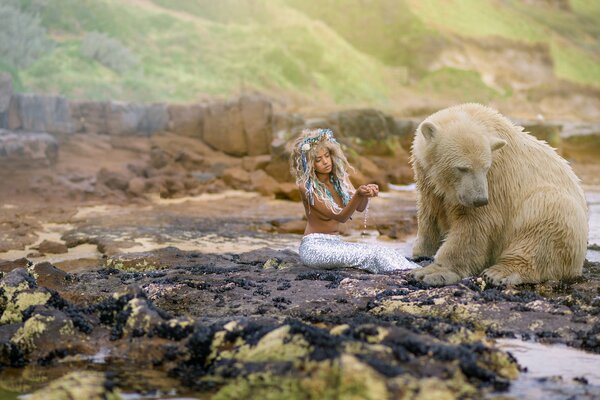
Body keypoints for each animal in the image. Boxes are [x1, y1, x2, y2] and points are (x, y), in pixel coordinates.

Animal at [410, 103, 588, 284]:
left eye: (485, 167)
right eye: (462, 168)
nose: (480, 200)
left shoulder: (496, 179)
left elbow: (476, 223)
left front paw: (433, 272)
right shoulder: (425, 176)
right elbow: (428, 212)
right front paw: (421, 252)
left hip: (555, 213)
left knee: (544, 220)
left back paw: (500, 272)